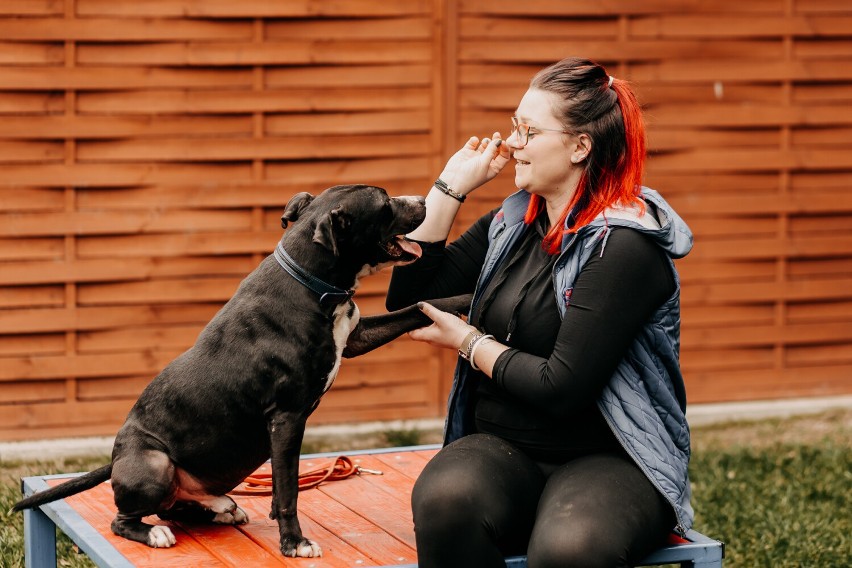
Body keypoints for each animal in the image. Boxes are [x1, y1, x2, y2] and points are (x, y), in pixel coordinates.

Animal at [13, 184, 470, 556]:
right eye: (384, 203)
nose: (424, 200)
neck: (312, 281)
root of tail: (115, 461)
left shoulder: (354, 336)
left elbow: (421, 308)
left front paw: (468, 299)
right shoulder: (286, 419)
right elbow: (287, 489)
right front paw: (294, 543)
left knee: (178, 509)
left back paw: (217, 509)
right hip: (154, 462)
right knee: (125, 519)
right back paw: (156, 532)